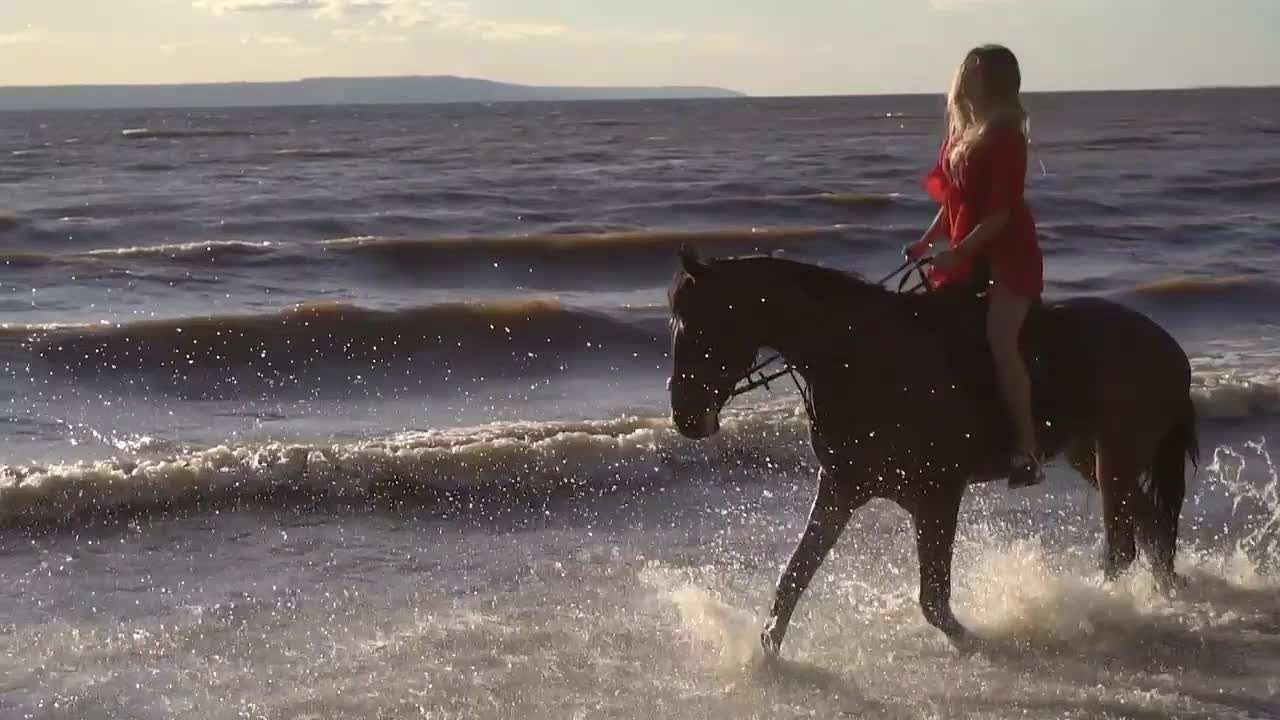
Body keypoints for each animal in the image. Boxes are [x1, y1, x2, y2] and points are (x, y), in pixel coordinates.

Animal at [670, 248, 1198, 655]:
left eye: (699, 330)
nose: (685, 418)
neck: (858, 359)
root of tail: (1169, 346)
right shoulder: (841, 488)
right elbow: (794, 577)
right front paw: (766, 655)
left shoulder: (937, 495)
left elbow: (933, 599)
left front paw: (974, 643)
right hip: (1092, 456)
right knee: (1150, 525)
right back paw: (1164, 592)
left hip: (1117, 456)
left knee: (1124, 544)